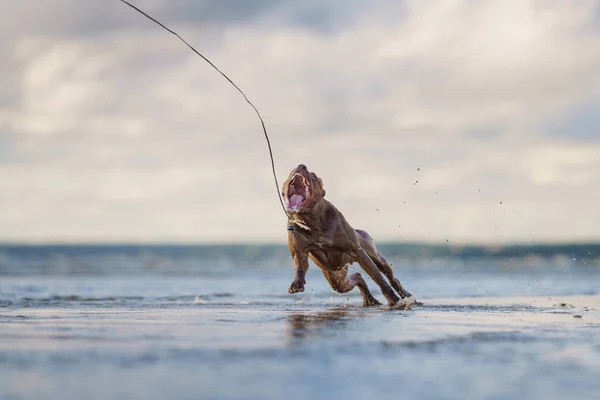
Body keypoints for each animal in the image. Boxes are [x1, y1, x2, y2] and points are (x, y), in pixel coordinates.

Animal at [280, 164, 412, 308]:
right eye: (290, 172)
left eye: (313, 176)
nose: (301, 165)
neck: (312, 222)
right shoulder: (300, 251)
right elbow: (300, 265)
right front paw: (297, 283)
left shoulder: (358, 252)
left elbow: (379, 279)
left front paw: (393, 299)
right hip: (336, 277)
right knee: (356, 277)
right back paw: (369, 299)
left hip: (374, 256)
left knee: (391, 277)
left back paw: (405, 295)